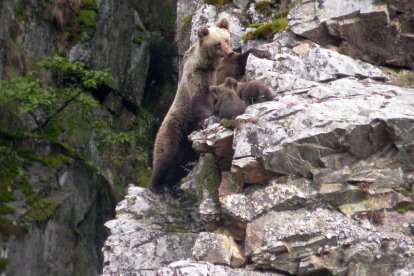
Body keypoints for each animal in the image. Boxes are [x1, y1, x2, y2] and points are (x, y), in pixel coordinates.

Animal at [149, 18, 233, 194]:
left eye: (227, 39)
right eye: (217, 43)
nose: (230, 52)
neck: (207, 65)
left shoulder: (217, 75)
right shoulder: (196, 78)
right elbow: (199, 101)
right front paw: (212, 116)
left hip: (189, 145)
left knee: (182, 163)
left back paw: (172, 187)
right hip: (174, 128)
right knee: (164, 155)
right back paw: (156, 185)